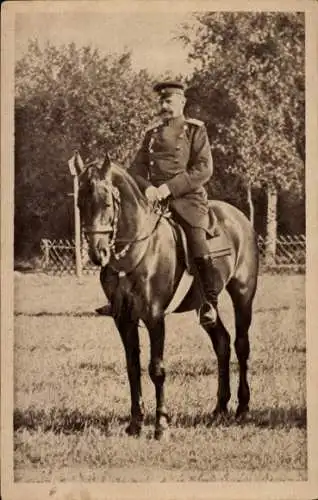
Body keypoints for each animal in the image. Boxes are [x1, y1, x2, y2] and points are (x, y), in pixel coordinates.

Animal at [77, 154, 258, 440]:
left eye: (106, 202)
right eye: (80, 203)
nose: (98, 253)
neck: (137, 250)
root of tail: (239, 217)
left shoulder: (154, 317)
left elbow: (156, 369)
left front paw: (161, 424)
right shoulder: (123, 319)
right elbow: (132, 368)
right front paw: (135, 423)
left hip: (243, 294)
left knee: (241, 345)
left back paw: (242, 407)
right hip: (205, 306)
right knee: (222, 342)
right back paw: (220, 407)